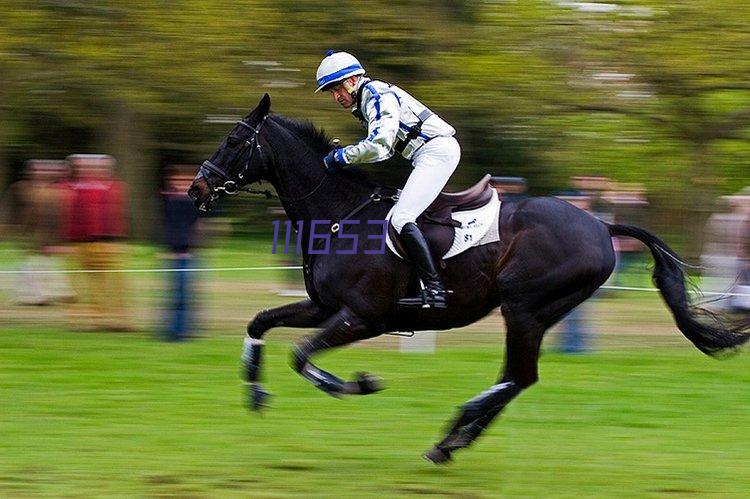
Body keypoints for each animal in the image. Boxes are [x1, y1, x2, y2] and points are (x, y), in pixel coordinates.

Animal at [187, 94, 748, 464]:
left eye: (234, 139)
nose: (196, 189)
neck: (338, 216)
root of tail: (601, 224)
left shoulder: (363, 317)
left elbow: (302, 356)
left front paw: (359, 384)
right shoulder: (325, 308)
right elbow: (261, 323)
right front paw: (255, 393)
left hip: (524, 308)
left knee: (519, 377)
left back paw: (454, 429)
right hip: (531, 313)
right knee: (515, 378)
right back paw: (452, 439)